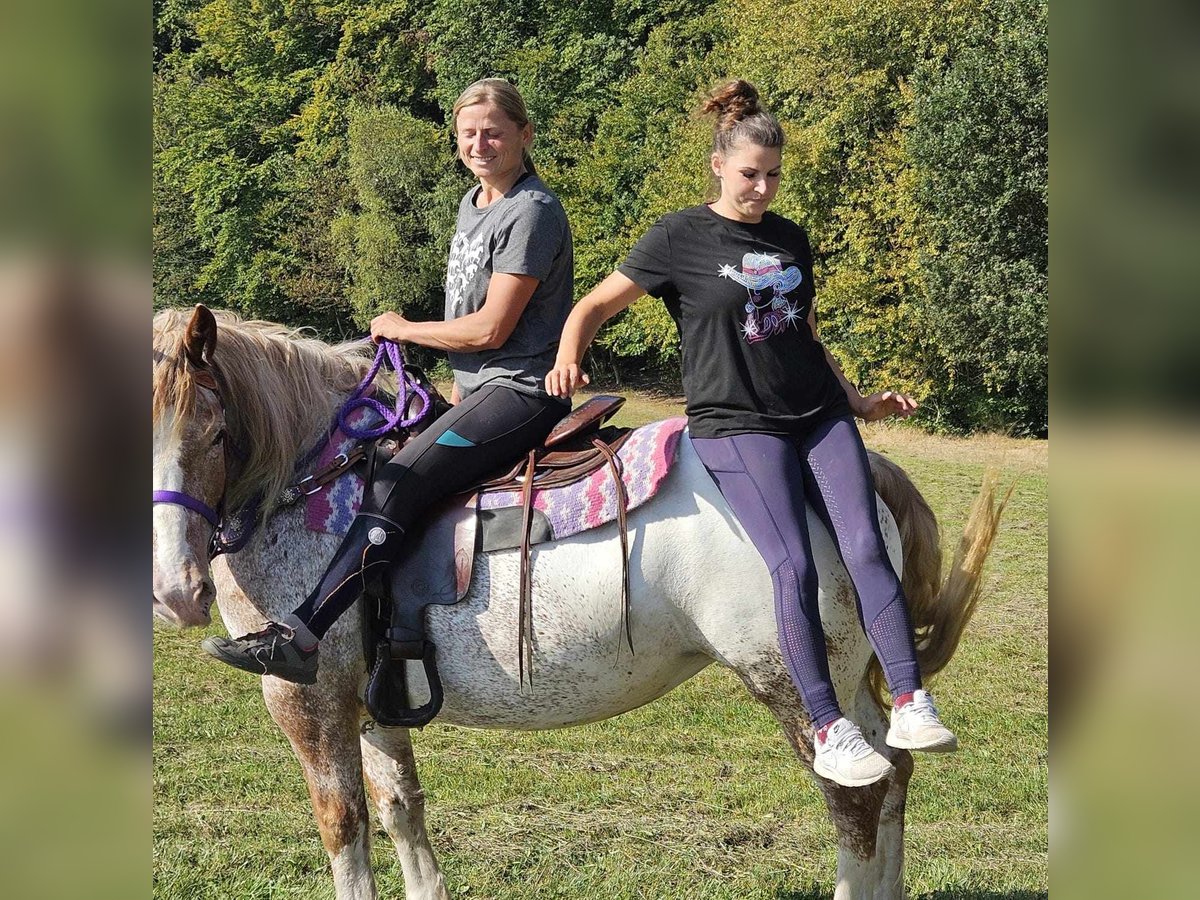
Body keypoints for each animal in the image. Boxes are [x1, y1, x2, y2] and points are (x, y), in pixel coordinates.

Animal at [154, 307, 1008, 900]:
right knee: (893, 772)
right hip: (851, 675)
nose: (176, 593)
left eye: (216, 433)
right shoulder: (367, 703)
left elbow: (345, 828)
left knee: (854, 800)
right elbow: (401, 810)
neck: (318, 488)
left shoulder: (307, 700)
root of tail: (841, 473)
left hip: (794, 684)